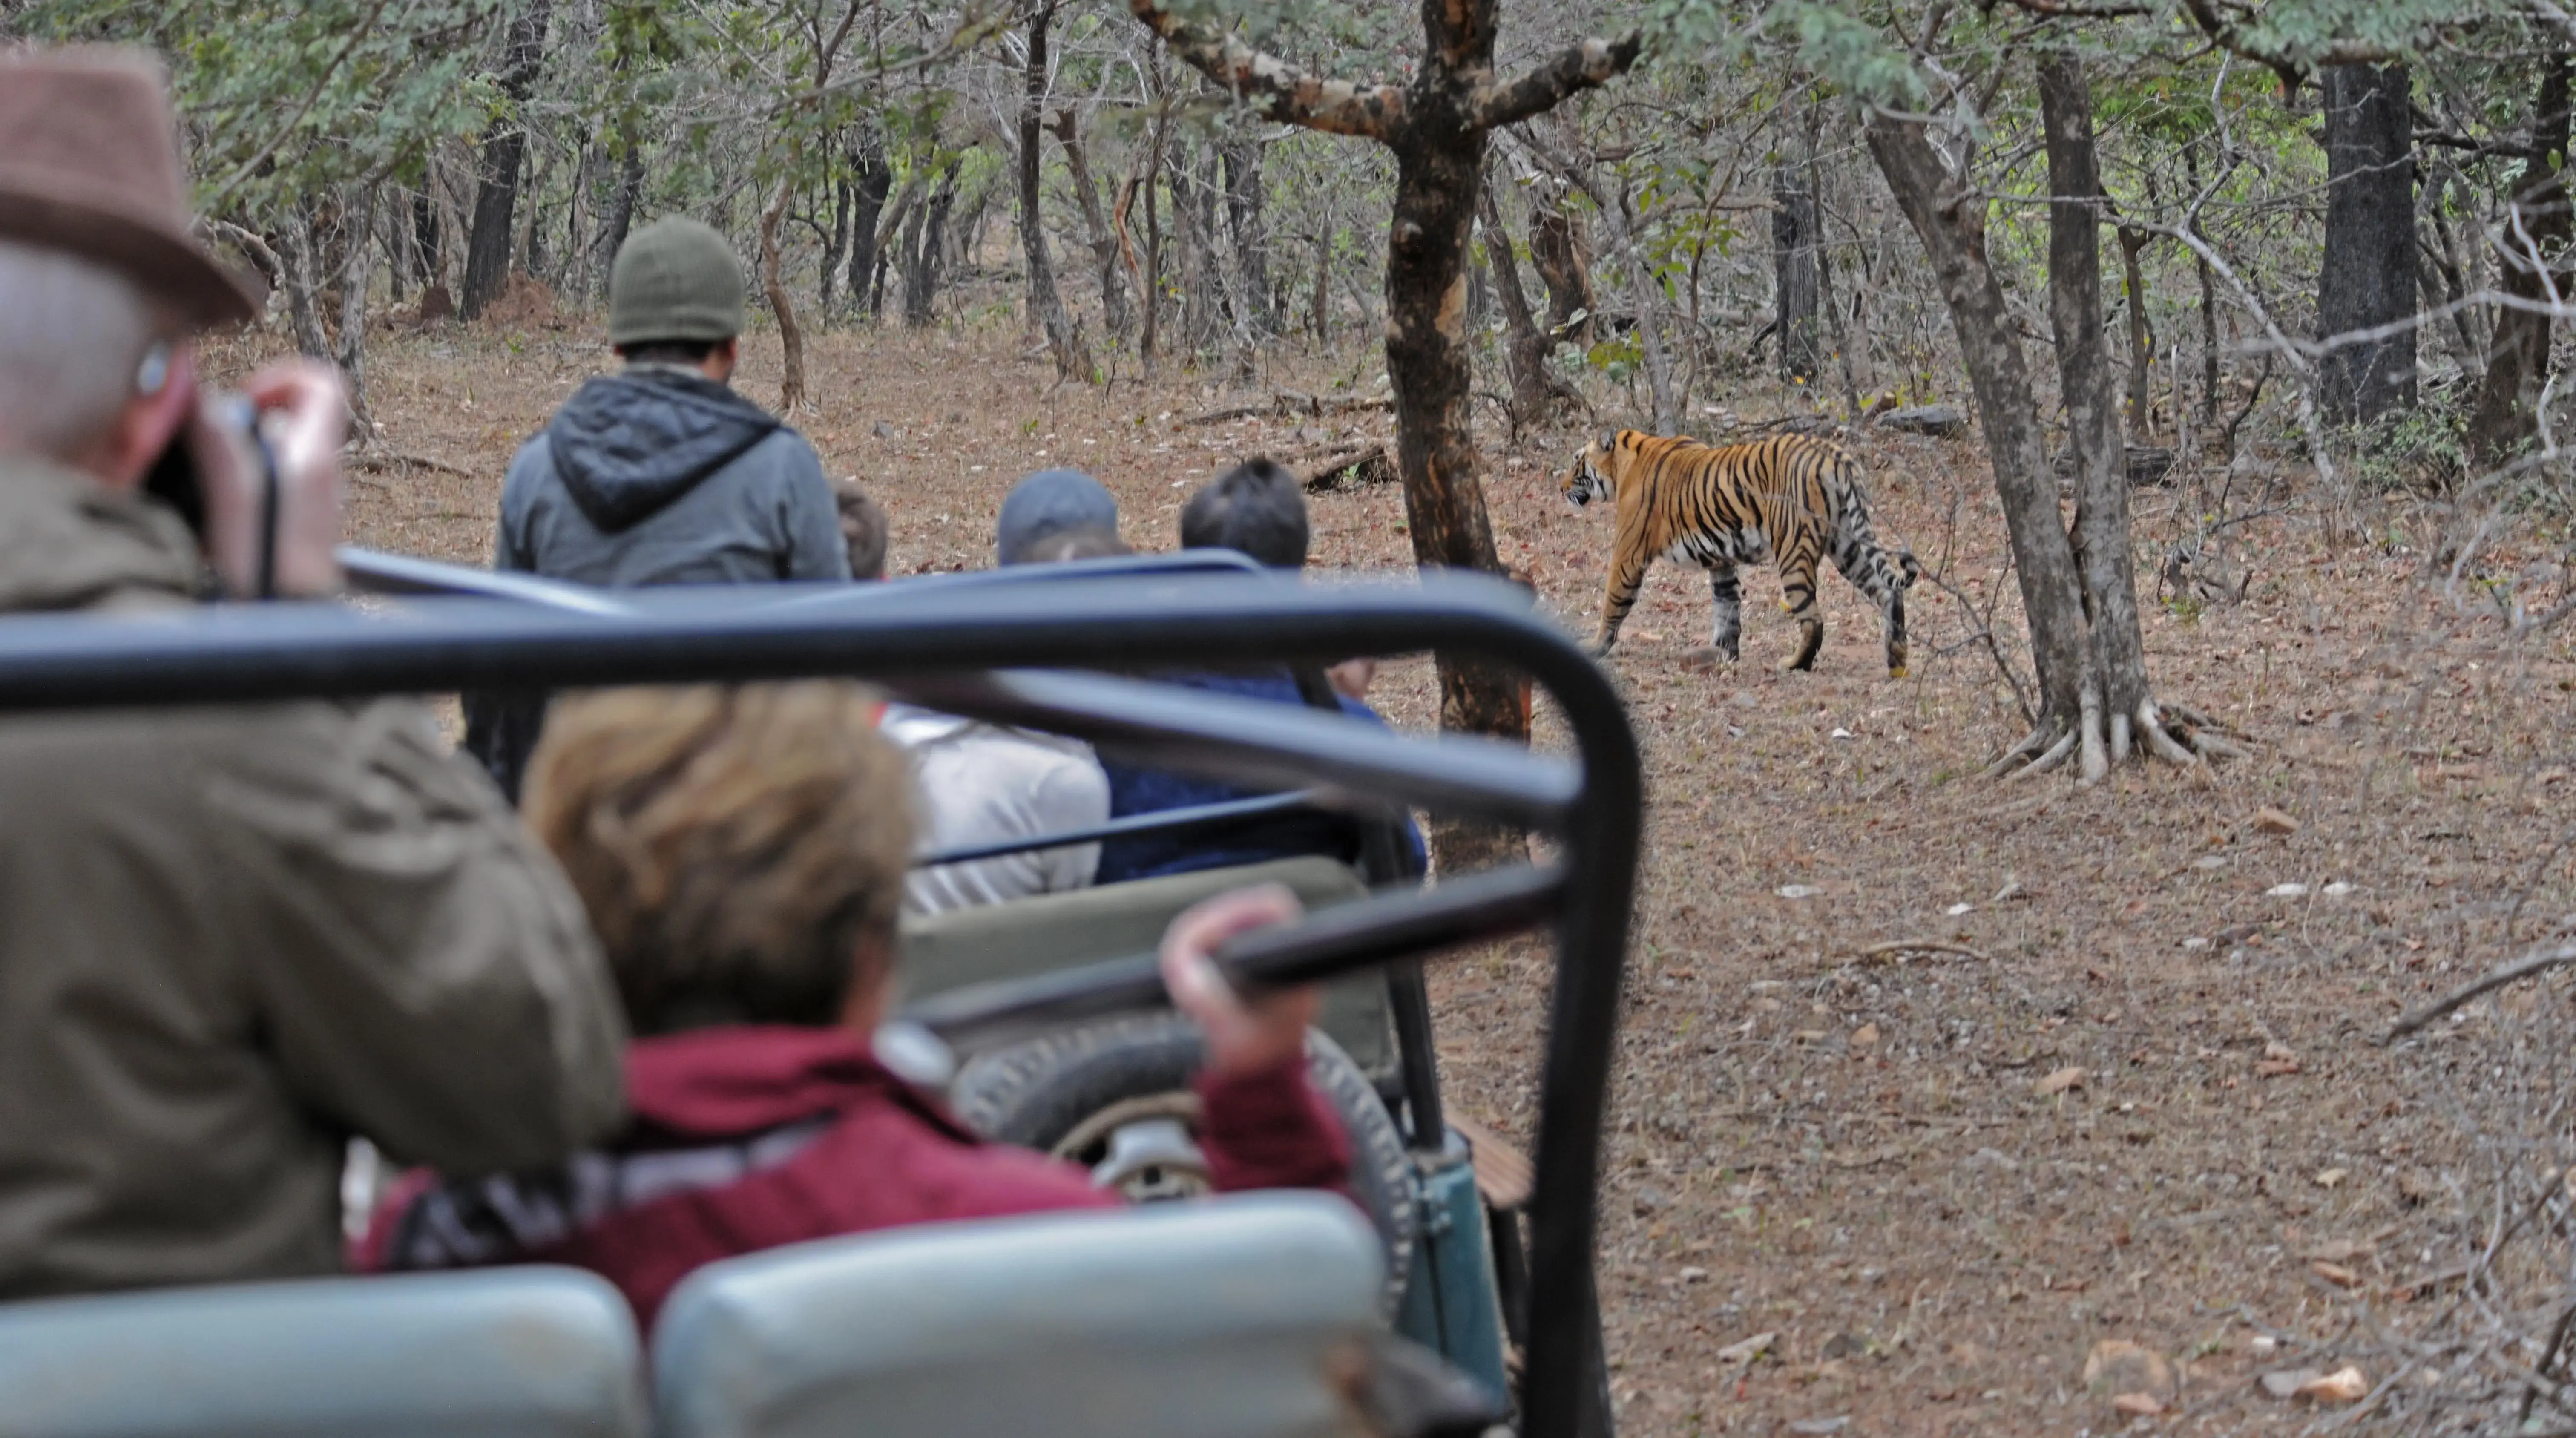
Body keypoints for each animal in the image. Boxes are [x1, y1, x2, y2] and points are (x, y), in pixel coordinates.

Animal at [1555, 430, 1926, 680]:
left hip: (1794, 550)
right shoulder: (1720, 561)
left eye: (1576, 461)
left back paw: (1795, 664)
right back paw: (1897, 661)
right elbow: (1727, 608)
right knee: (1888, 592)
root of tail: (1834, 454)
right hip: (1848, 544)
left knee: (1814, 618)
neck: (1621, 465)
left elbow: (1612, 601)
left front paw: (1595, 646)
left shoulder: (1629, 553)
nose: (1560, 487)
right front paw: (1723, 655)